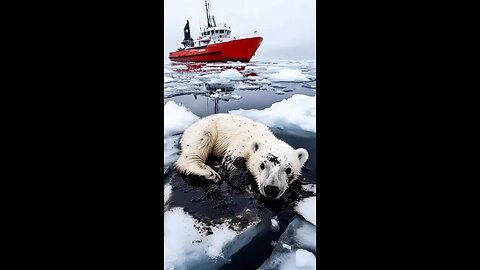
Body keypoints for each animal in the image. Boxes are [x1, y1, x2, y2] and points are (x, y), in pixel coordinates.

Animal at [175, 113, 308, 198]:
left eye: (288, 170)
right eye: (262, 165)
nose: (271, 189)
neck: (262, 136)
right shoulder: (241, 144)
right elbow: (230, 160)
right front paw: (246, 184)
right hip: (206, 127)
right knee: (199, 142)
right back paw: (209, 174)